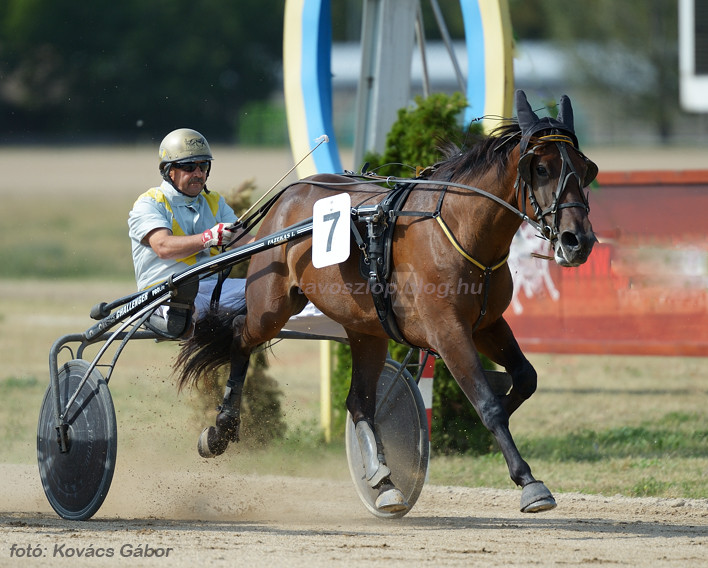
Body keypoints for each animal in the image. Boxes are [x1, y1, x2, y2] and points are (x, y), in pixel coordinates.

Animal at [176, 90, 596, 516]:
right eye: (540, 168)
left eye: (586, 169)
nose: (578, 241)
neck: (460, 228)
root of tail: (289, 194)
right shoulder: (447, 330)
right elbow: (488, 404)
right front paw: (529, 482)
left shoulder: (487, 324)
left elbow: (524, 379)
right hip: (270, 307)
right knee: (240, 336)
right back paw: (220, 430)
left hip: (366, 329)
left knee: (359, 402)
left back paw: (383, 481)